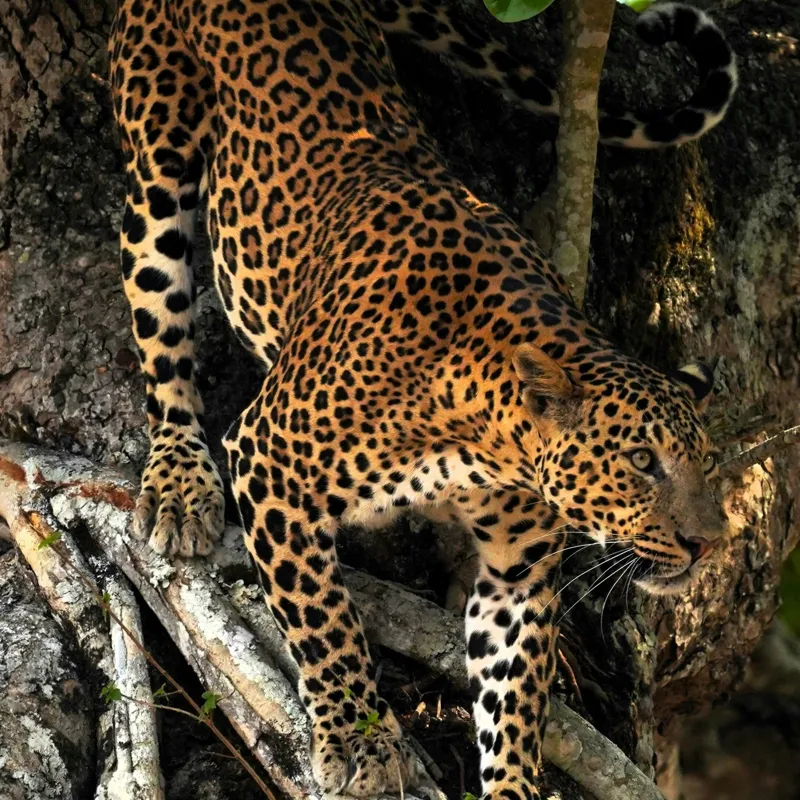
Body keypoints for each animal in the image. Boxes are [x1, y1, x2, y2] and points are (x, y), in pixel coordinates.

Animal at [108, 0, 735, 797]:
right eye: (641, 461)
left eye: (706, 465)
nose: (708, 543)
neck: (482, 434)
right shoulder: (269, 461)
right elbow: (322, 616)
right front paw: (360, 738)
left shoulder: (516, 572)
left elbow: (513, 700)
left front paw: (513, 785)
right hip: (156, 156)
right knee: (159, 325)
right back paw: (180, 481)